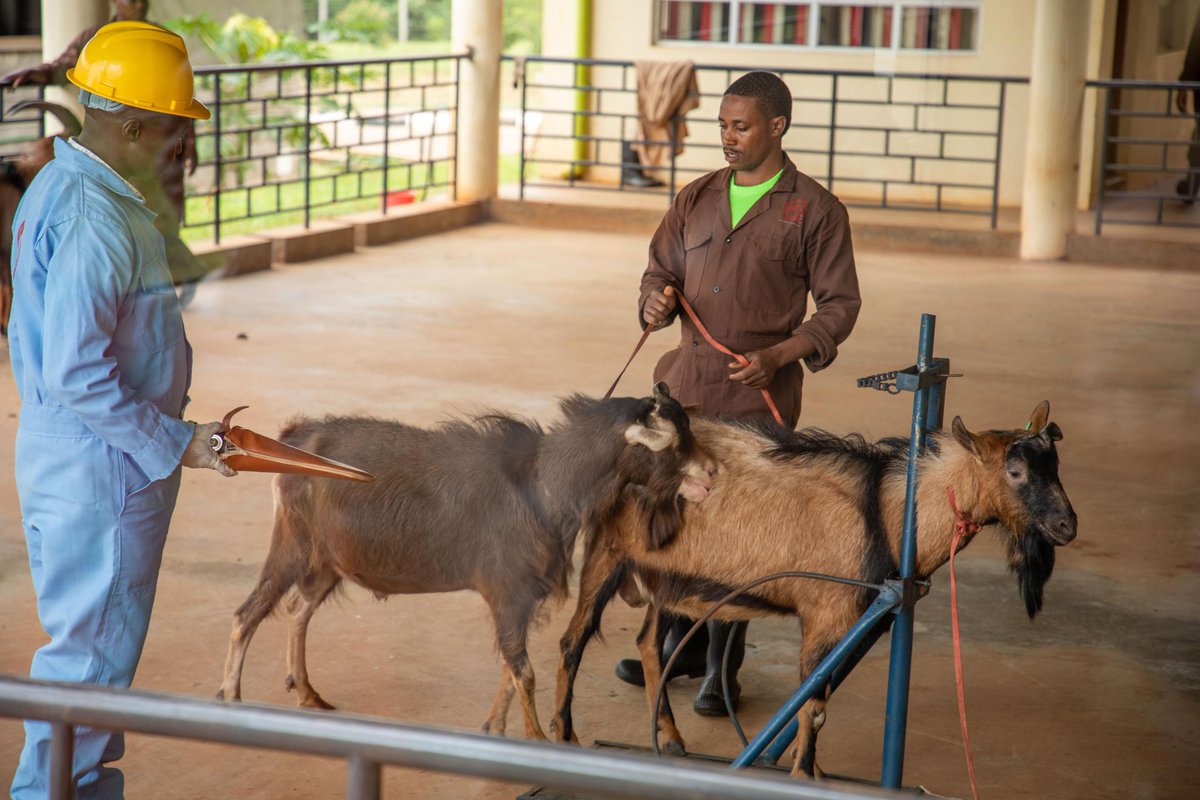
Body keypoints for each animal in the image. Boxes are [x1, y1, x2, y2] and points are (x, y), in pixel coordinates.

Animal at [216, 383, 718, 740]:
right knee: (247, 614)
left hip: (325, 561)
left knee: (298, 610)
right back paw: (231, 697)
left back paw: (307, 692)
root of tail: (294, 435)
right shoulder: (508, 590)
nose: (713, 473)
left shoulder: (522, 600)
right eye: (673, 443)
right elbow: (523, 672)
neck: (544, 484)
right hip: (293, 545)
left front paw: (494, 728)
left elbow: (510, 667)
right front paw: (537, 741)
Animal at [551, 401, 1077, 777]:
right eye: (1015, 471)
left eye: (1055, 466)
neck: (886, 512)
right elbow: (814, 704)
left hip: (663, 574)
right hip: (608, 553)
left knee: (647, 644)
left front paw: (813, 770)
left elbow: (818, 698)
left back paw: (670, 737)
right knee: (573, 641)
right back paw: (563, 736)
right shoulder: (826, 615)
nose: (1066, 526)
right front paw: (804, 775)